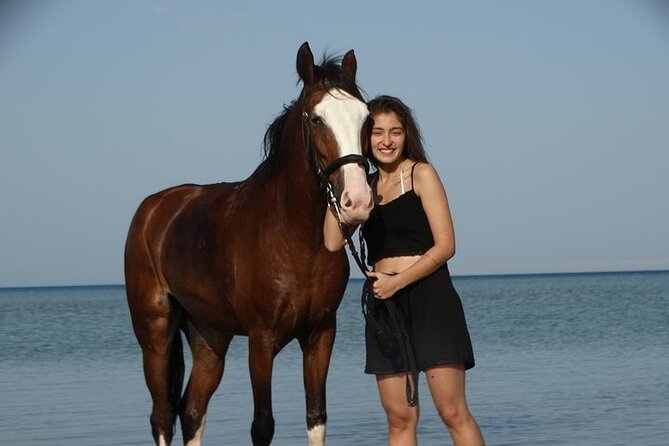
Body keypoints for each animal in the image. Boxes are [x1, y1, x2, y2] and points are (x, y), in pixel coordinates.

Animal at [124, 42, 373, 446]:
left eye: (365, 118)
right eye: (316, 119)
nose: (358, 200)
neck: (295, 237)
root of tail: (152, 210)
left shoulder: (320, 335)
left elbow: (316, 417)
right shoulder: (261, 340)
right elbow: (262, 425)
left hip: (209, 336)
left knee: (192, 411)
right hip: (155, 333)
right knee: (162, 416)